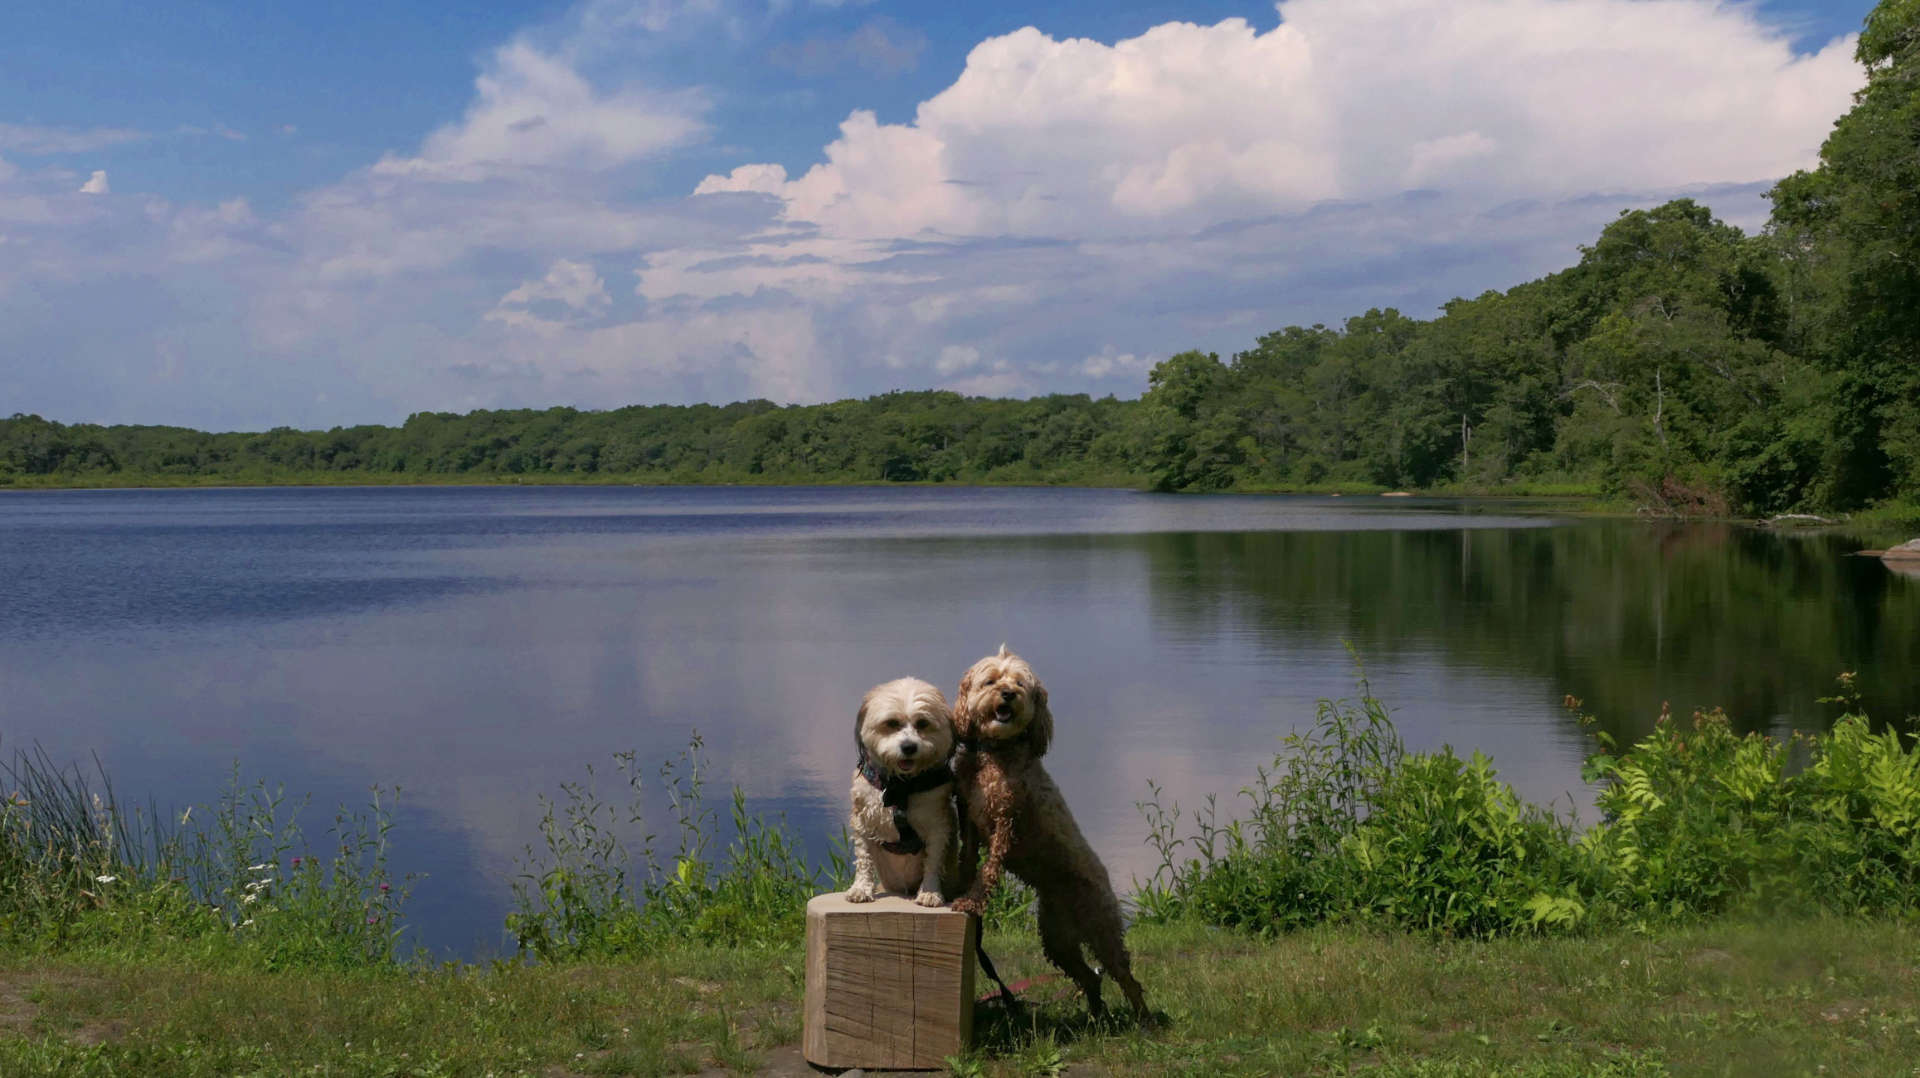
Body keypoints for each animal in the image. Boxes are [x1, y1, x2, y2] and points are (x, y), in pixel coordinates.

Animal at [848, 676, 960, 903]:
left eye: (923, 723)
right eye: (891, 723)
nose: (909, 747)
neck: (901, 785)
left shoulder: (937, 824)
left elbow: (933, 861)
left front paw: (929, 892)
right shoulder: (862, 819)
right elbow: (864, 857)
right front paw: (861, 888)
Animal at [948, 641, 1144, 1022]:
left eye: (1020, 684)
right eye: (991, 681)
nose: (1008, 694)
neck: (993, 756)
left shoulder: (1004, 824)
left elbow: (987, 871)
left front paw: (971, 901)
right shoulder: (971, 820)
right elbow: (966, 858)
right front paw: (956, 886)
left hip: (1101, 927)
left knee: (1126, 977)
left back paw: (1145, 1020)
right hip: (1057, 939)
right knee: (1090, 977)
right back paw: (1096, 1019)